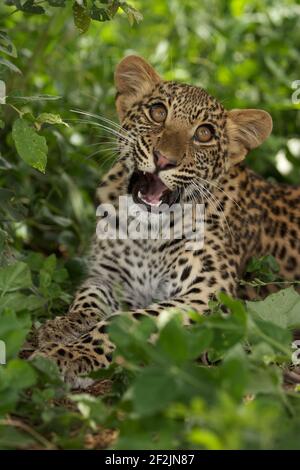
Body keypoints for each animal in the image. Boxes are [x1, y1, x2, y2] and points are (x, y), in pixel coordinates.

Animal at [29, 55, 300, 388]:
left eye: (204, 134)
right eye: (158, 112)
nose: (163, 159)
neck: (147, 232)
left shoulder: (205, 298)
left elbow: (125, 321)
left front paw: (69, 355)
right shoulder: (107, 275)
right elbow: (87, 299)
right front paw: (63, 327)